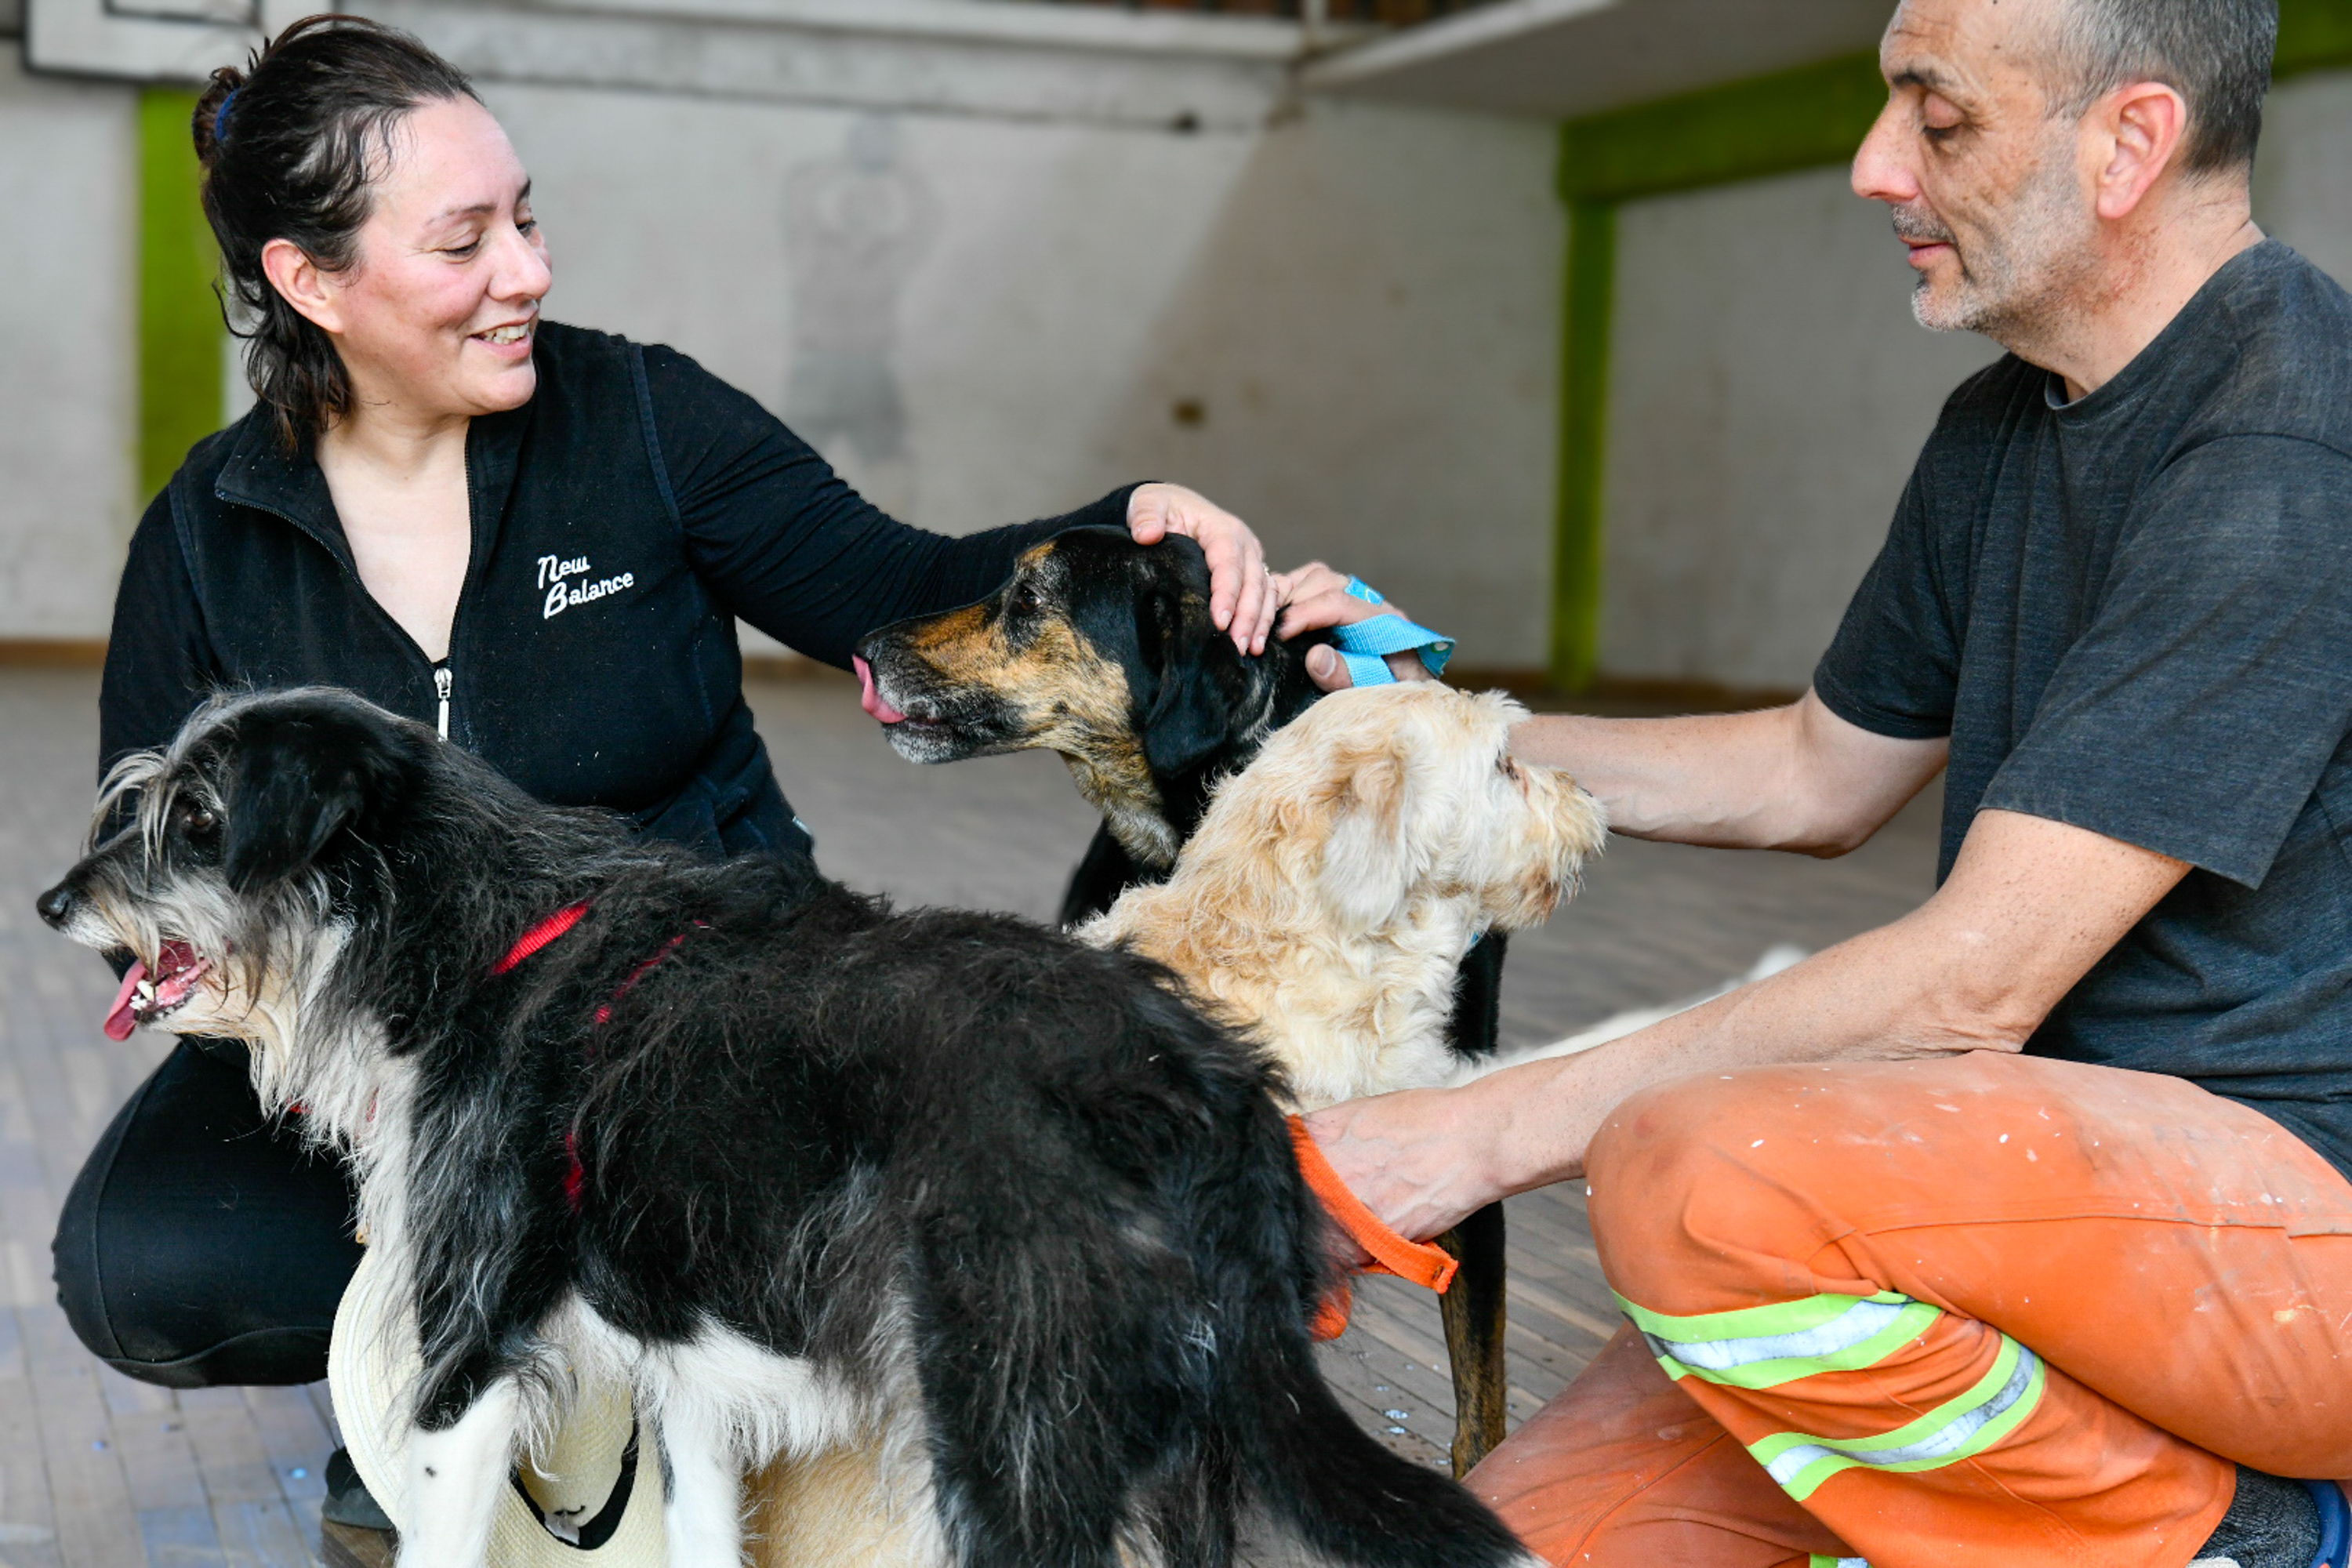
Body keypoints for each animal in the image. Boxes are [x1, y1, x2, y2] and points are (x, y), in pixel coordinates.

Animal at [45, 691, 1543, 1568]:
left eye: (197, 818)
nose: (56, 901)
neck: (478, 942)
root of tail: (1192, 1081)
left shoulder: (469, 1362)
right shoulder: (690, 1384)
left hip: (1012, 1449)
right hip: (1173, 1463)